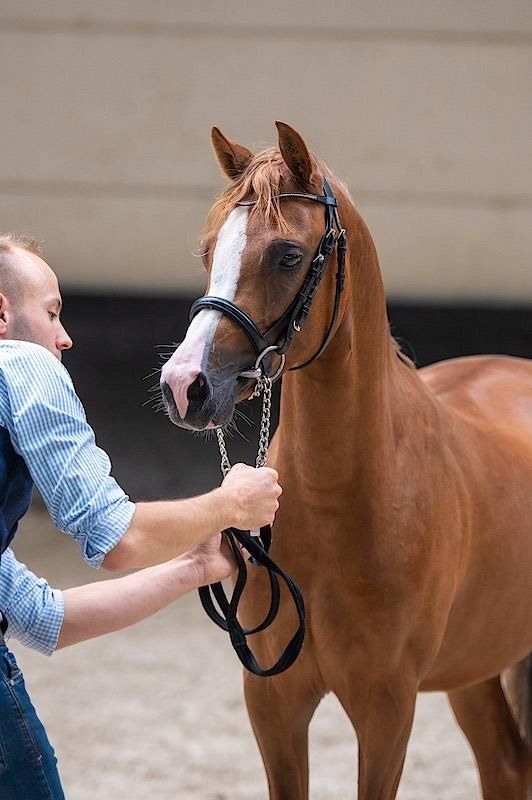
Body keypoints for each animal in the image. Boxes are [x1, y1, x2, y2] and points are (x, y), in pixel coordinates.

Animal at [160, 121, 532, 799]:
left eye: (286, 254)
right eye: (207, 251)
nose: (186, 385)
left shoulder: (387, 708)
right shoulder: (274, 702)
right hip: (475, 665)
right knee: (506, 765)